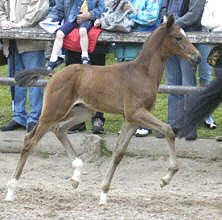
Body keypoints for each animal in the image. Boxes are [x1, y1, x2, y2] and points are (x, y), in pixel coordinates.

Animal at [5, 14, 201, 205]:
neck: (142, 73)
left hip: (84, 111)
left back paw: (76, 175)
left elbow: (119, 152)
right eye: (178, 37)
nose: (197, 57)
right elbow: (168, 130)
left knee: (58, 129)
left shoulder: (132, 119)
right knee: (30, 140)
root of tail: (54, 74)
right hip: (54, 111)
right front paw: (165, 179)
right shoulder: (136, 113)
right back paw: (11, 190)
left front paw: (104, 193)